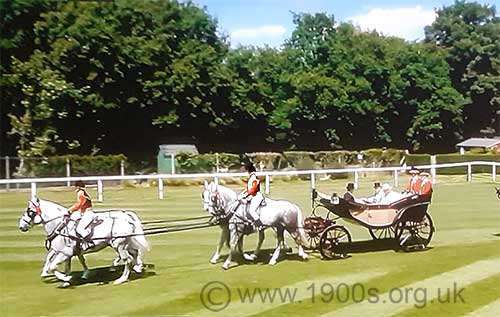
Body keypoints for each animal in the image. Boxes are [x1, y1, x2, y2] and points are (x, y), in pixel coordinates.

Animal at [19, 198, 148, 284]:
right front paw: (66, 279)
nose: (21, 226)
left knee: (128, 259)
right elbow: (62, 263)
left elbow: (53, 266)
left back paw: (121, 278)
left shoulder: (65, 252)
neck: (60, 226)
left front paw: (66, 278)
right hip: (124, 243)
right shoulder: (65, 251)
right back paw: (137, 268)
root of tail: (126, 218)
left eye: (30, 211)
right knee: (134, 253)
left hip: (119, 245)